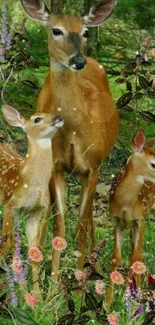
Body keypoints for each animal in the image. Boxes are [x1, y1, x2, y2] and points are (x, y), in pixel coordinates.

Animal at [0, 104, 63, 294]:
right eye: (37, 119)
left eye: (50, 112)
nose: (58, 117)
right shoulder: (10, 205)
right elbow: (4, 244)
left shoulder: (35, 212)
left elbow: (34, 253)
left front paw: (35, 295)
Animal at [20, 0, 118, 278]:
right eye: (56, 30)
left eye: (84, 32)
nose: (78, 60)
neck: (77, 129)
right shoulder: (57, 166)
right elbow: (60, 224)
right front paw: (54, 280)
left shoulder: (93, 166)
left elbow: (81, 226)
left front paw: (80, 278)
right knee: (48, 213)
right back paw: (39, 254)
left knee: (89, 218)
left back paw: (94, 262)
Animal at [107, 129, 155, 304]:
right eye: (153, 164)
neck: (126, 204)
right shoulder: (116, 221)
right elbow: (116, 257)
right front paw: (108, 300)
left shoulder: (140, 219)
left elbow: (136, 257)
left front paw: (125, 297)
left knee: (138, 254)